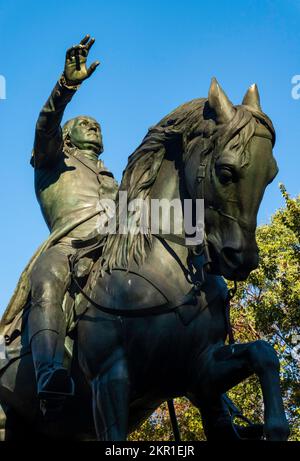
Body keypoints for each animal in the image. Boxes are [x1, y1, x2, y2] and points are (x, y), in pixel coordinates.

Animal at [0, 80, 290, 442]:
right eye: (225, 171)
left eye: (271, 174)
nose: (241, 258)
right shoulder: (109, 379)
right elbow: (46, 137)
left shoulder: (201, 374)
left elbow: (263, 353)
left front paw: (276, 427)